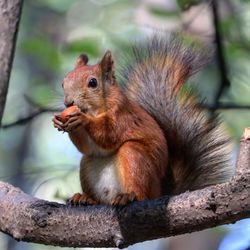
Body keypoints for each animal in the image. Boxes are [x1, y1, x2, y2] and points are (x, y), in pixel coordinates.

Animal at [52, 35, 232, 207]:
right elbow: (86, 147)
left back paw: (128, 197)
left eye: (93, 82)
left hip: (135, 158)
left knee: (140, 189)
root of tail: (160, 192)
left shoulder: (123, 115)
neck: (96, 110)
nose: (68, 103)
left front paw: (82, 119)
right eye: (63, 82)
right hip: (87, 164)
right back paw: (87, 198)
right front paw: (60, 121)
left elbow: (109, 134)